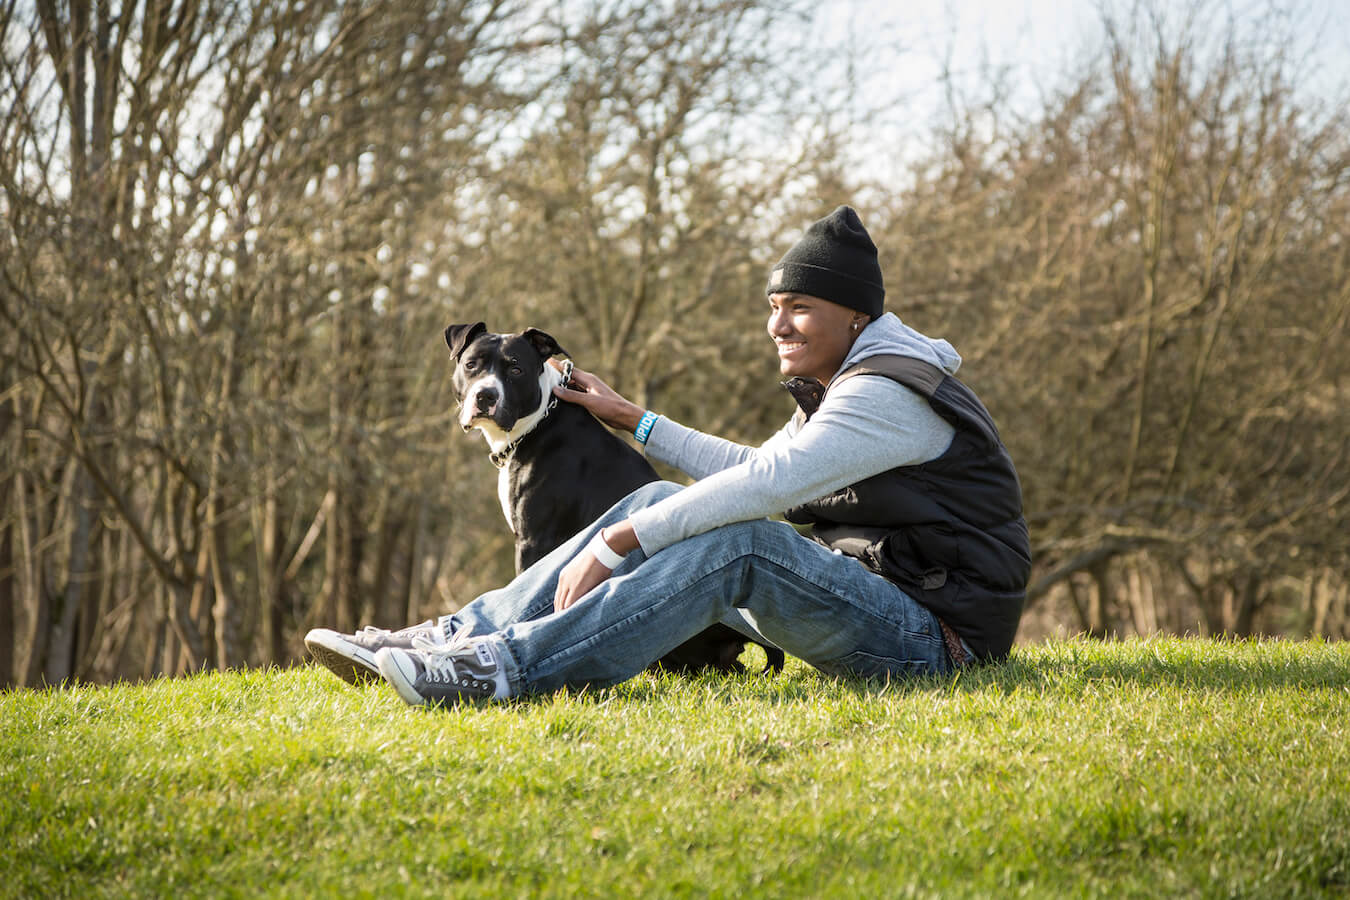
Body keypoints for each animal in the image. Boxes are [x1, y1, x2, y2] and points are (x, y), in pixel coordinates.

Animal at [445, 323, 783, 674]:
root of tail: (740, 638)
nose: (486, 395)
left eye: (516, 369)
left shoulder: (534, 540)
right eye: (471, 365)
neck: (536, 424)